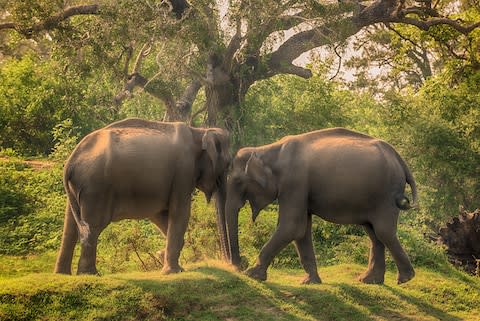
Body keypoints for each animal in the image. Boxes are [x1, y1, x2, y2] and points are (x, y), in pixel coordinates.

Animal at [54, 119, 231, 274]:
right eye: (228, 164)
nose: (231, 264)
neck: (199, 131)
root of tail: (70, 161)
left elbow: (159, 215)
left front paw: (168, 260)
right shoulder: (183, 170)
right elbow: (180, 212)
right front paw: (173, 271)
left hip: (78, 189)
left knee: (71, 226)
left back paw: (63, 274)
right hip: (95, 188)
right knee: (93, 225)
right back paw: (90, 274)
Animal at [225, 126, 416, 284]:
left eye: (237, 181)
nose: (240, 265)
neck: (267, 149)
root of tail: (399, 159)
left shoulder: (294, 182)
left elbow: (291, 226)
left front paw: (251, 274)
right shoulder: (300, 189)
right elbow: (301, 230)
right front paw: (310, 282)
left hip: (386, 195)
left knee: (383, 231)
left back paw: (405, 279)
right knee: (374, 232)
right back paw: (370, 280)